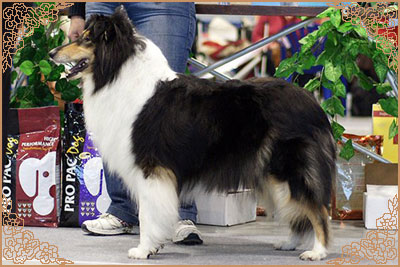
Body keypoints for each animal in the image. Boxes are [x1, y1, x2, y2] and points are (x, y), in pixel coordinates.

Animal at [51, 7, 336, 262]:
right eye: (81, 34)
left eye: (87, 39)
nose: (52, 52)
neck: (118, 72)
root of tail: (313, 103)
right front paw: (152, 247)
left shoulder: (151, 169)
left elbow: (147, 214)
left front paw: (144, 250)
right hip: (270, 174)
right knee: (296, 210)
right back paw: (289, 243)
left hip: (289, 169)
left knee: (317, 210)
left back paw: (317, 252)